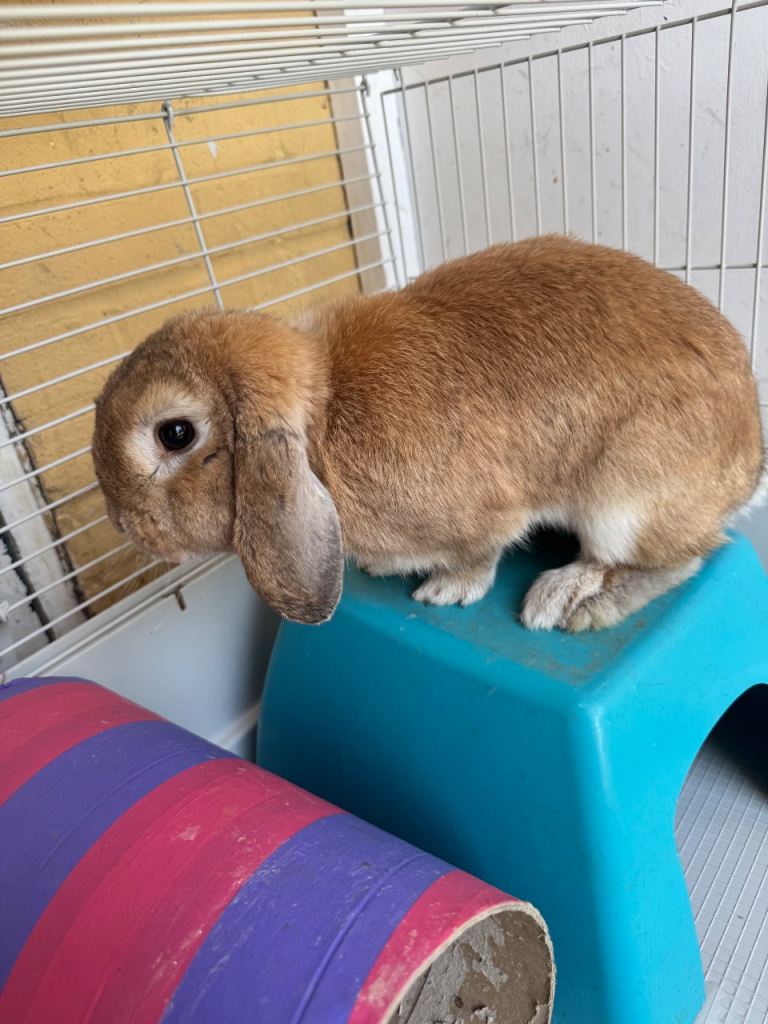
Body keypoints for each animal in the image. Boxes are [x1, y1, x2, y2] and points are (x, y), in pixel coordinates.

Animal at [92, 234, 766, 630]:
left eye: (176, 433)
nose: (122, 524)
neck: (323, 420)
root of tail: (750, 464)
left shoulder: (487, 517)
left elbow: (481, 554)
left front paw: (446, 591)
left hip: (623, 502)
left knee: (681, 557)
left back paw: (568, 600)